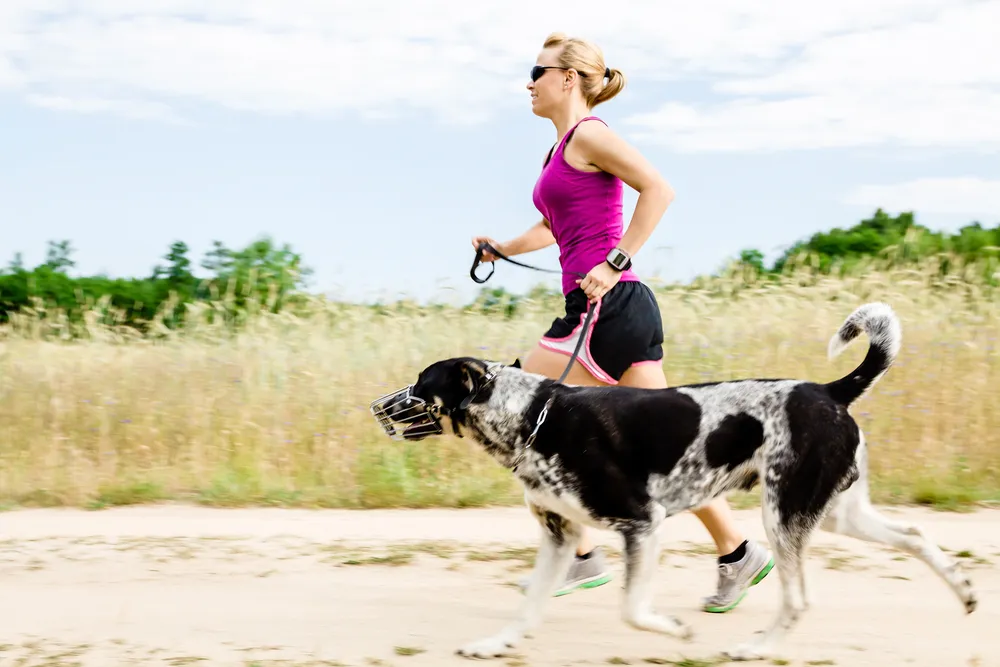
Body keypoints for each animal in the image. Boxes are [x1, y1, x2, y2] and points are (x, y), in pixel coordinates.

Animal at [374, 304, 976, 664]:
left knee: (799, 599)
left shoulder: (642, 522)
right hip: (836, 512)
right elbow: (530, 606)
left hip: (784, 516)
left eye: (421, 383)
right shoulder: (559, 535)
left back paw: (757, 648)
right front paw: (497, 643)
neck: (532, 416)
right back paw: (965, 593)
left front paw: (676, 632)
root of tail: (830, 390)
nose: (378, 407)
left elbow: (631, 610)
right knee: (917, 536)